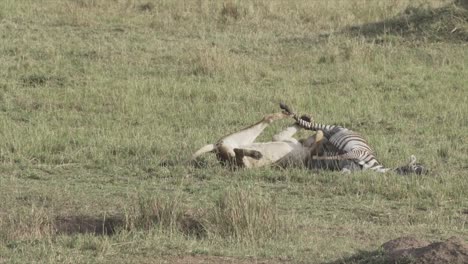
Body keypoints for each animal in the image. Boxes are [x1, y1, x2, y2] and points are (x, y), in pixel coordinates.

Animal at [280, 103, 426, 175]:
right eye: (417, 166)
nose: (428, 172)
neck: (372, 167)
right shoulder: (357, 152)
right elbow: (339, 155)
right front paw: (317, 158)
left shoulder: (348, 168)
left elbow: (343, 172)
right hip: (331, 129)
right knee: (310, 125)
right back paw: (287, 108)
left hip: (329, 132)